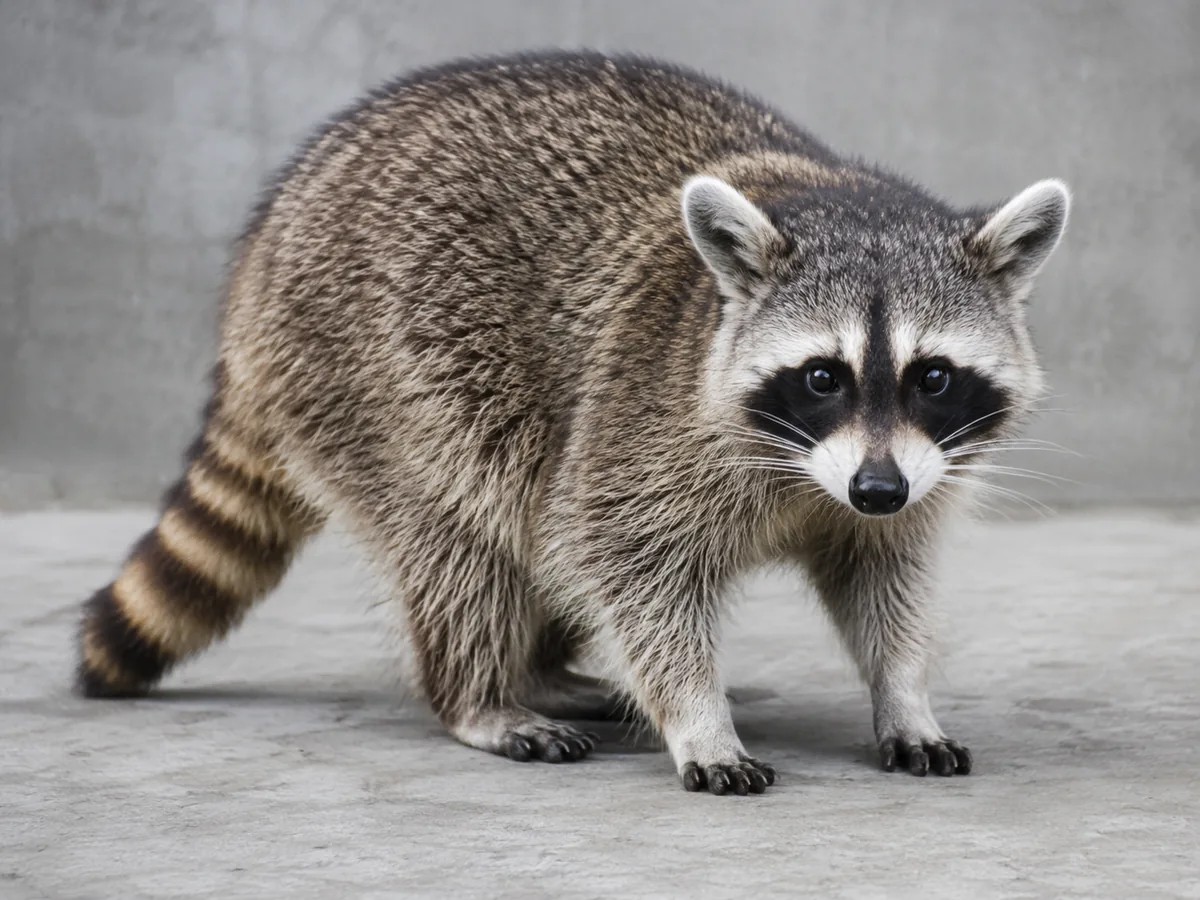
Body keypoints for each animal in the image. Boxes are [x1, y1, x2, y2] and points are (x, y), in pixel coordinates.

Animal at [76, 51, 1069, 795]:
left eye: (932, 377)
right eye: (822, 377)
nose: (875, 487)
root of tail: (265, 244)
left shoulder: (911, 475)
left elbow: (885, 580)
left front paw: (904, 693)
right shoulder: (646, 414)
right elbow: (629, 561)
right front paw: (696, 717)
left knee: (535, 533)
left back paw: (545, 670)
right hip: (375, 370)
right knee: (465, 533)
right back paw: (479, 695)